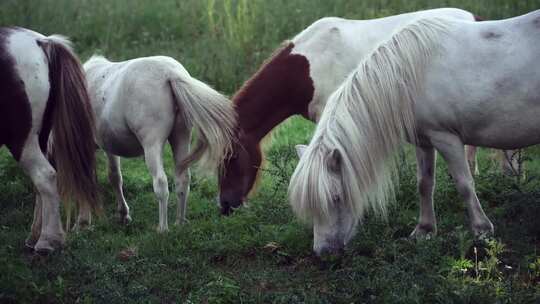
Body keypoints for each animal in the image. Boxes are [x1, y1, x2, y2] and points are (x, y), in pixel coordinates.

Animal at [0, 27, 98, 253]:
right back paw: (36, 236)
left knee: (45, 176)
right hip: (40, 138)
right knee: (41, 183)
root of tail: (41, 42)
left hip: (22, 140)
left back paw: (47, 241)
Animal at [83, 55, 235, 232]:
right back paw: (179, 222)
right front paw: (123, 215)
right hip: (181, 137)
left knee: (161, 182)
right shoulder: (109, 147)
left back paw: (163, 229)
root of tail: (170, 73)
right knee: (183, 179)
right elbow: (114, 177)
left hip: (152, 145)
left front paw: (83, 221)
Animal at [288, 10, 540, 255]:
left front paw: (482, 230)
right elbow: (424, 184)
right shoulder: (424, 141)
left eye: (336, 198)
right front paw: (424, 230)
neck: (409, 76)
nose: (322, 253)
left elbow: (465, 184)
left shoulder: (446, 138)